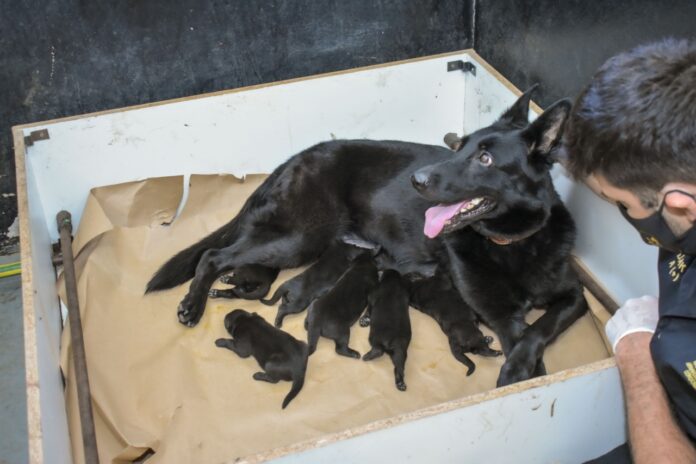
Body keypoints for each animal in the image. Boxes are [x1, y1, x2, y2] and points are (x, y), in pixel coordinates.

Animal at [147, 86, 588, 384]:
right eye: (459, 148)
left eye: (484, 158)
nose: (417, 180)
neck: (516, 243)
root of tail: (291, 161)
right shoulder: (499, 316)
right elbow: (528, 340)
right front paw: (522, 374)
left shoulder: (575, 298)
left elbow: (540, 328)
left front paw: (522, 367)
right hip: (298, 239)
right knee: (214, 255)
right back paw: (193, 306)